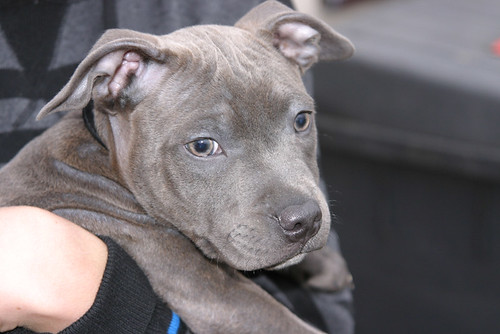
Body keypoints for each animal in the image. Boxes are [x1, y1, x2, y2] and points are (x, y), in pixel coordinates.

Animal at [0, 1, 352, 332]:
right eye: (203, 146)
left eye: (302, 120)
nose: (305, 220)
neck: (104, 161)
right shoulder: (219, 299)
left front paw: (325, 264)